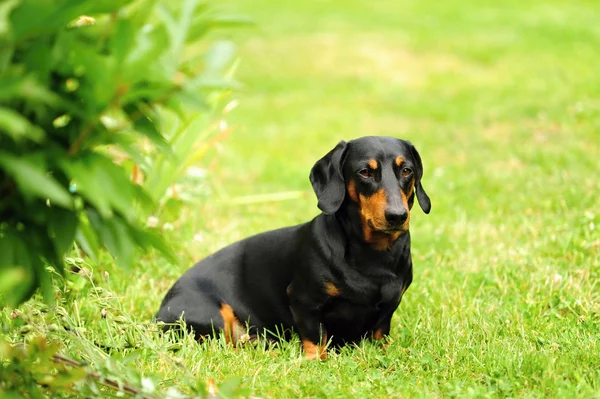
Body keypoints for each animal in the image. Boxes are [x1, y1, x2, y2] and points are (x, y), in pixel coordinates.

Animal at [158, 136, 432, 360]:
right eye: (365, 172)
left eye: (406, 170)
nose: (397, 216)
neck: (374, 256)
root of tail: (159, 312)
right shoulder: (304, 301)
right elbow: (315, 338)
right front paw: (315, 360)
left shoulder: (387, 309)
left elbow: (379, 334)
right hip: (211, 316)